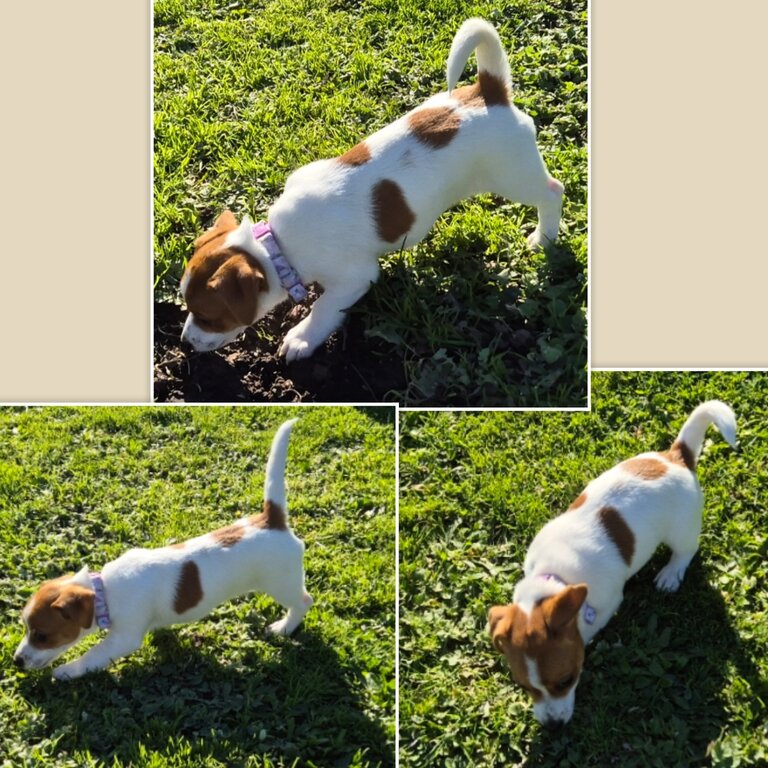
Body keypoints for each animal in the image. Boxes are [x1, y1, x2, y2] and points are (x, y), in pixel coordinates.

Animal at [13, 420, 310, 680]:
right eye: (27, 629)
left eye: (42, 635)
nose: (16, 661)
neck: (103, 591)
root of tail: (271, 520)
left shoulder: (123, 638)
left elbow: (92, 656)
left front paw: (66, 671)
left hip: (281, 583)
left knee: (304, 602)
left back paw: (284, 628)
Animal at [180, 17, 564, 360]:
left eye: (208, 317)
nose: (184, 343)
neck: (278, 245)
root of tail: (490, 92)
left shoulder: (355, 278)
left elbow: (324, 307)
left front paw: (301, 338)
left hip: (513, 175)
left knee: (552, 191)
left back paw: (543, 238)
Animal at [488, 402, 736, 728]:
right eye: (524, 687)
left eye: (566, 681)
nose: (553, 727)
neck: (554, 577)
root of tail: (677, 456)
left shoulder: (608, 602)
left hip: (682, 530)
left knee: (686, 551)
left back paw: (671, 573)